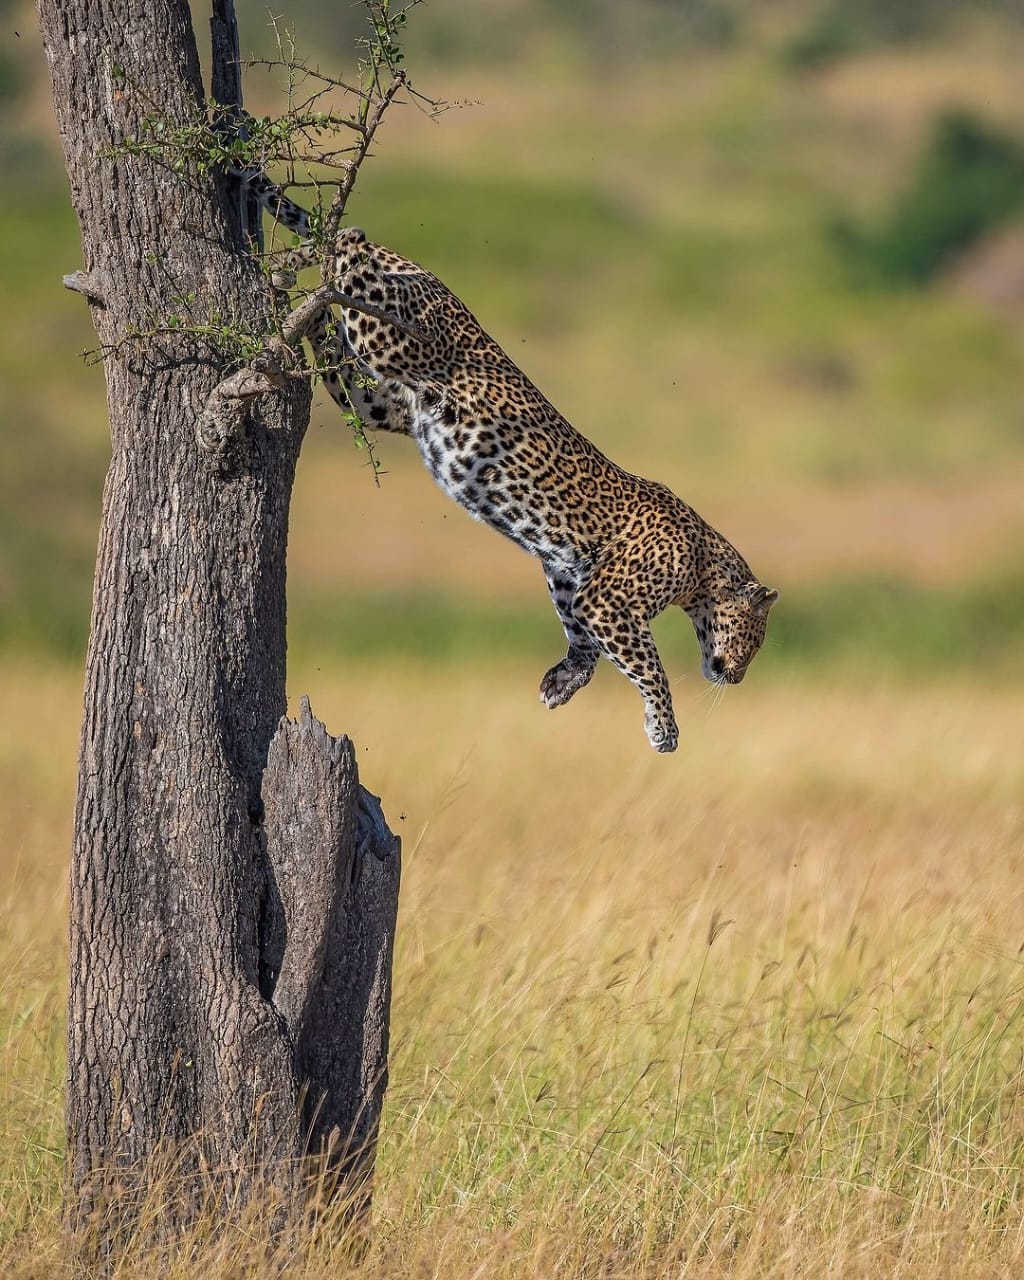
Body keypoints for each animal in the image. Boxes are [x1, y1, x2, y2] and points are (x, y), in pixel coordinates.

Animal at [235, 168, 778, 747]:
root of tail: (424, 271)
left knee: (336, 338)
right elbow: (649, 663)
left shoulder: (571, 583)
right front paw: (665, 728)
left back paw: (294, 296)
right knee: (349, 246)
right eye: (755, 639)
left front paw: (562, 683)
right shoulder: (609, 600)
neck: (702, 570)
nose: (738, 677)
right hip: (392, 335)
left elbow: (586, 646)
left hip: (382, 401)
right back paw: (307, 261)